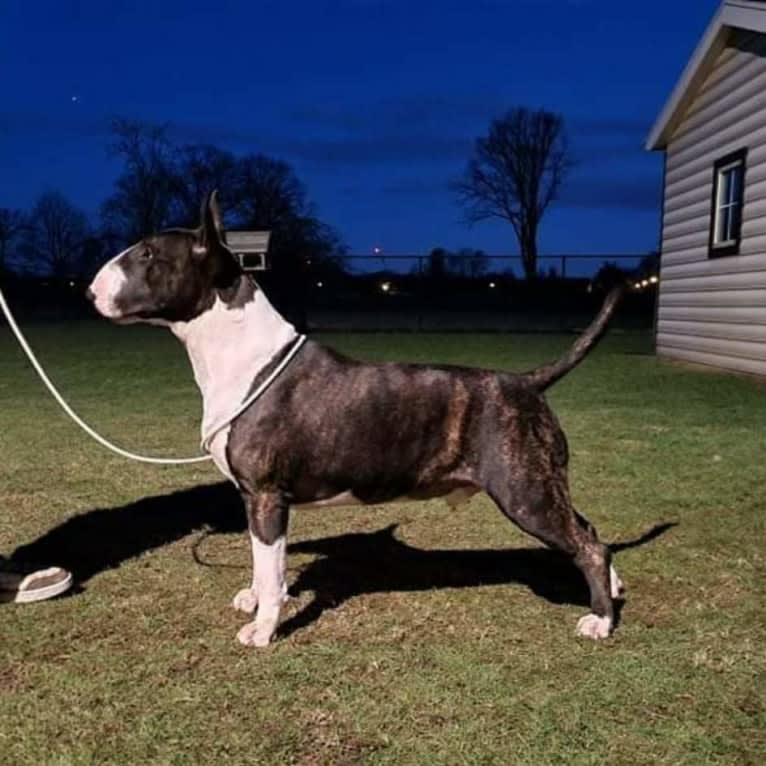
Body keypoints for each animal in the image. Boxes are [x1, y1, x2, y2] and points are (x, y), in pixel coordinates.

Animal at [88, 192, 632, 648]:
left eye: (148, 255)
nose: (91, 291)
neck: (241, 354)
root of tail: (526, 382)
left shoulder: (266, 496)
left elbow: (271, 565)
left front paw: (263, 628)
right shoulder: (250, 498)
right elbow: (261, 560)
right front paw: (254, 597)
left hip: (524, 490)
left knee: (587, 545)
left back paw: (600, 619)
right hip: (541, 483)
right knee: (589, 530)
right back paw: (613, 588)